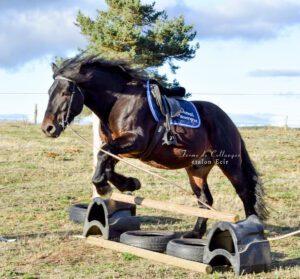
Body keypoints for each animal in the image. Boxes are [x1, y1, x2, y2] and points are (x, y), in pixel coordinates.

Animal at [41, 56, 268, 238]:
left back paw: (250, 226)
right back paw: (195, 232)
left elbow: (102, 160)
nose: (48, 128)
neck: (118, 101)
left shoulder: (134, 141)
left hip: (229, 162)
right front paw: (129, 183)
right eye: (50, 92)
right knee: (205, 199)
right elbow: (106, 164)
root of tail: (228, 120)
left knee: (244, 191)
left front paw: (104, 187)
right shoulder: (118, 147)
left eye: (65, 93)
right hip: (196, 168)